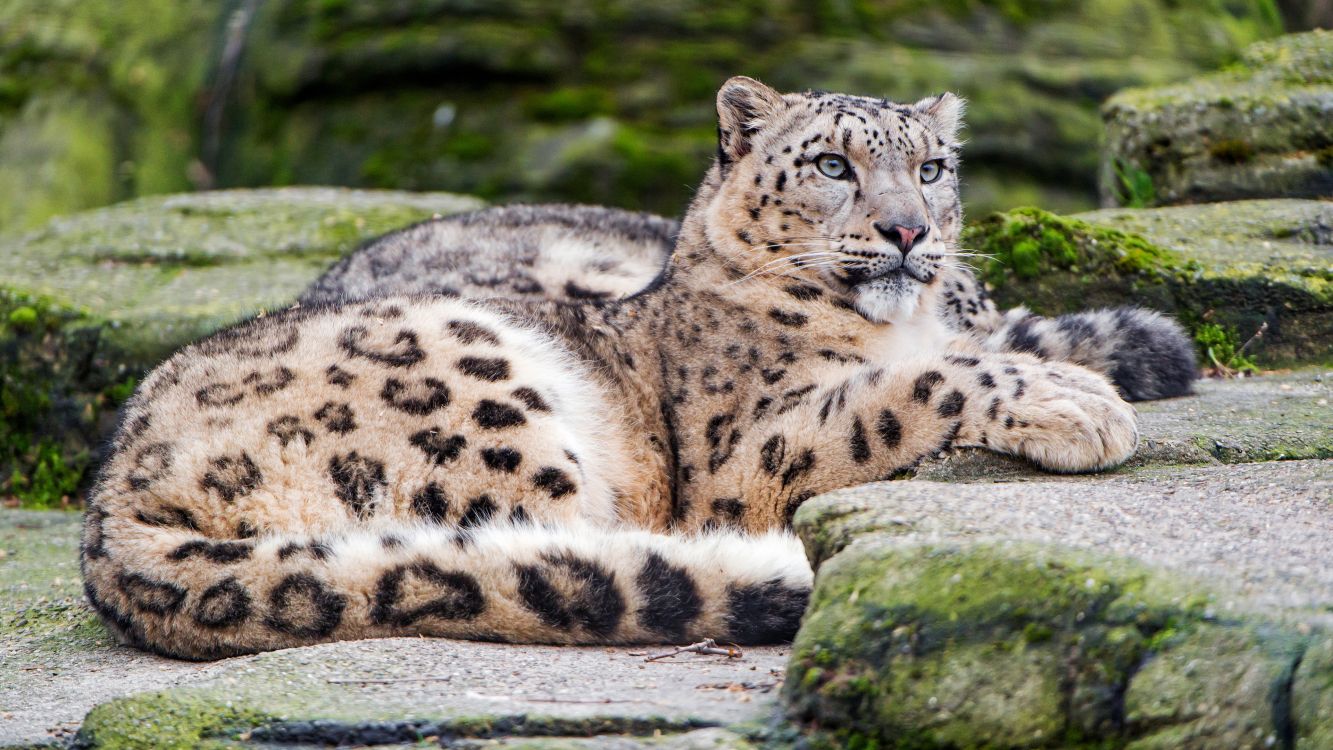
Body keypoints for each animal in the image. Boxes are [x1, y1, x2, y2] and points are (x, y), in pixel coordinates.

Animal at [84, 77, 1157, 660]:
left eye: (931, 168)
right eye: (832, 166)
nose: (908, 230)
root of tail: (110, 503)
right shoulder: (748, 455)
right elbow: (903, 391)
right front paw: (1077, 403)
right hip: (479, 391)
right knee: (557, 550)